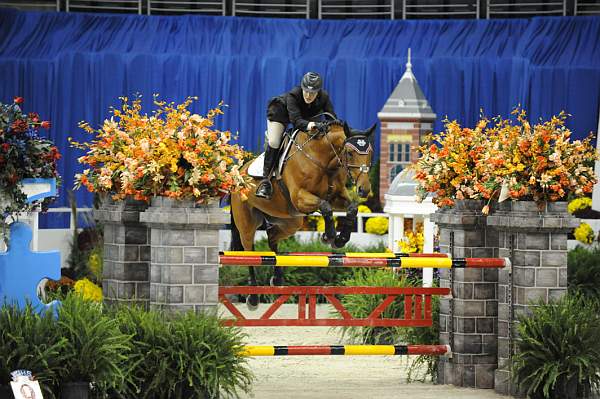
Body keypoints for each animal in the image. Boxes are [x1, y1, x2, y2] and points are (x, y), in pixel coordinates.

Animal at [230, 120, 376, 308]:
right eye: (350, 153)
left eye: (370, 153)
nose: (364, 189)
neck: (323, 161)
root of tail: (238, 173)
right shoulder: (300, 197)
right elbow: (325, 207)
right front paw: (329, 236)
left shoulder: (337, 196)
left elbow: (352, 208)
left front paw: (341, 239)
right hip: (247, 224)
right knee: (250, 251)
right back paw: (253, 297)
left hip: (290, 221)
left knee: (272, 238)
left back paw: (277, 279)